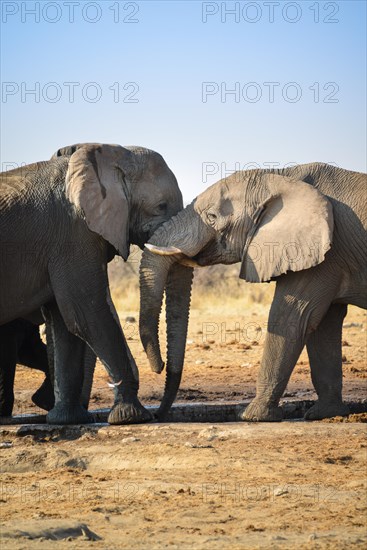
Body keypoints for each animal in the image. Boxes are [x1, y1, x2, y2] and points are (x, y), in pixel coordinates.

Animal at [1, 143, 193, 426]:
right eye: (161, 206)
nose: (160, 414)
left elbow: (65, 322)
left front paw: (68, 420)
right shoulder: (73, 233)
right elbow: (88, 315)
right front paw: (132, 417)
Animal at [139, 164, 366, 422]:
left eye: (212, 217)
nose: (158, 414)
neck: (281, 175)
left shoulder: (323, 254)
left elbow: (290, 317)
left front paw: (251, 416)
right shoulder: (328, 257)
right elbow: (324, 325)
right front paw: (324, 414)